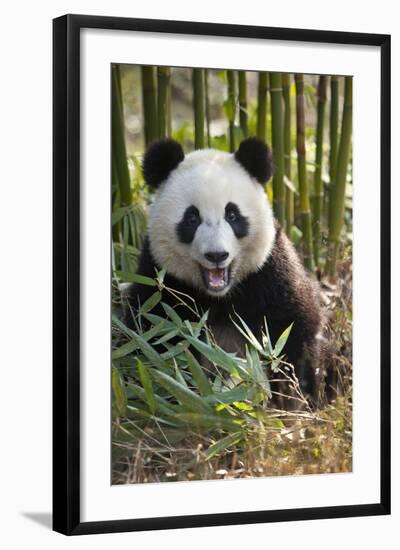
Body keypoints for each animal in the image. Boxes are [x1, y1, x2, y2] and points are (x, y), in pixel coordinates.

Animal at [126, 136, 324, 408]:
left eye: (232, 214)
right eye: (192, 218)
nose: (217, 255)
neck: (219, 296)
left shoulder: (270, 273)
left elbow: (292, 332)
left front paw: (290, 399)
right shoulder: (160, 280)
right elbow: (156, 341)